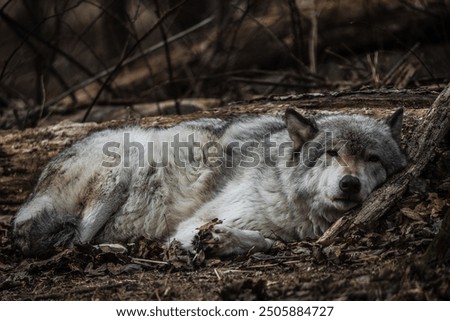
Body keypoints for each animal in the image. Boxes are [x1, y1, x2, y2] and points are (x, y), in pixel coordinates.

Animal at [12, 109, 406, 256]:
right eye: (331, 153)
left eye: (373, 158)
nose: (350, 184)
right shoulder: (189, 224)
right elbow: (261, 240)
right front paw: (217, 239)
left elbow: (271, 241)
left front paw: (224, 239)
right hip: (122, 167)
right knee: (74, 242)